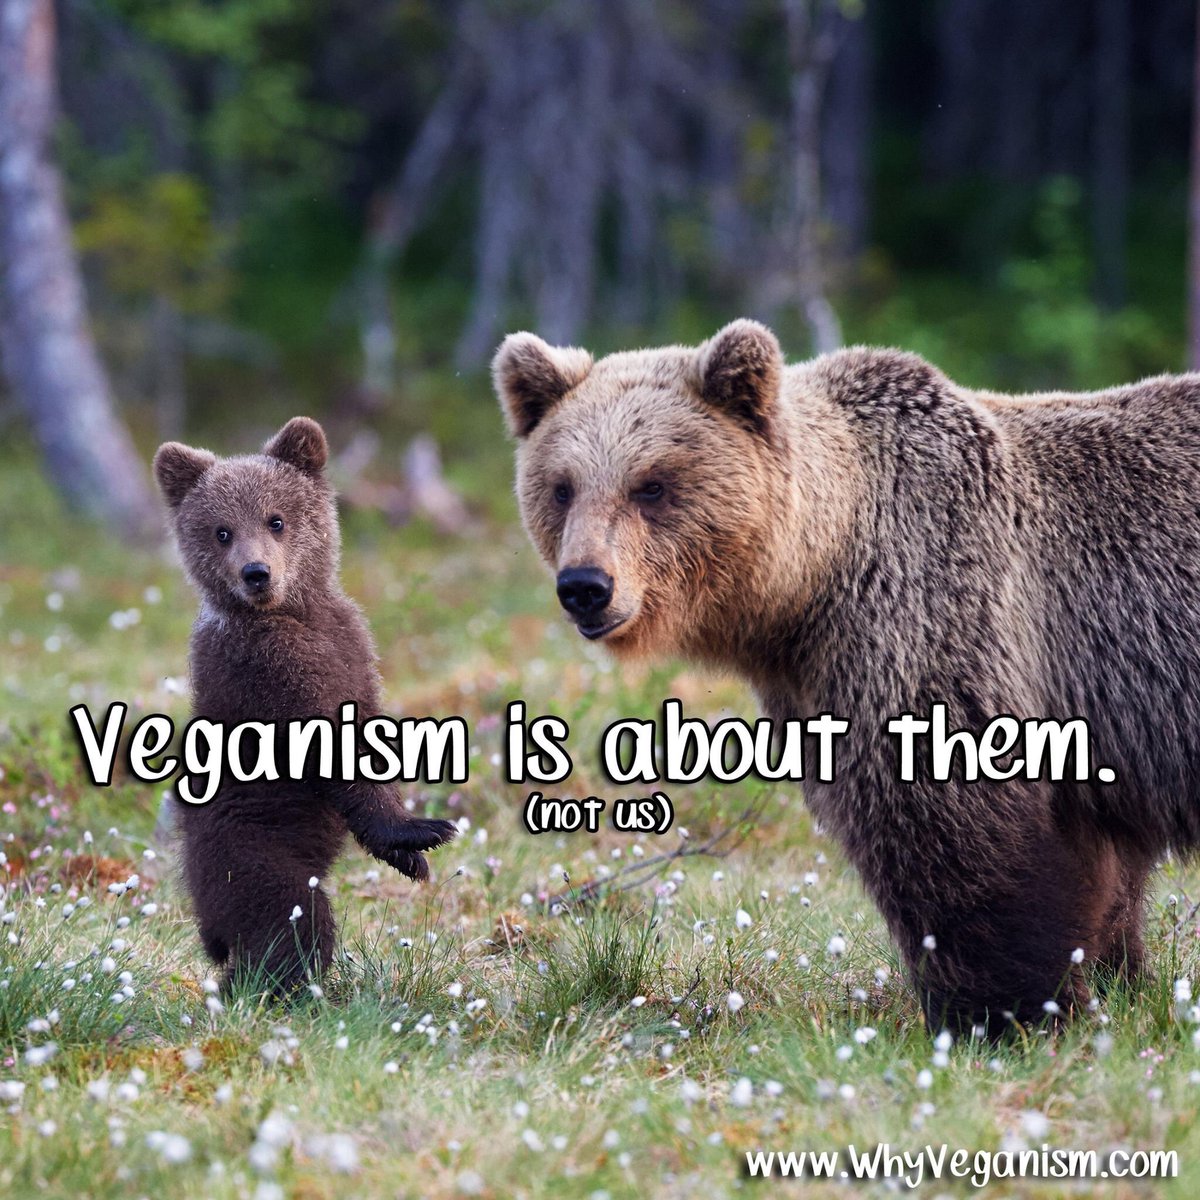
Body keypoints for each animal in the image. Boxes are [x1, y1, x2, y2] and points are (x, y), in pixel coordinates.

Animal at [153, 417, 457, 993]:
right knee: (292, 926)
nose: (256, 573)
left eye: (276, 520)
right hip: (252, 853)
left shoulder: (351, 646)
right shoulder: (273, 672)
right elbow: (335, 751)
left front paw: (410, 857)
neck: (293, 614)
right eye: (221, 530)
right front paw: (422, 830)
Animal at [494, 319, 1200, 1035]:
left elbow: (950, 823)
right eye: (562, 486)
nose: (585, 586)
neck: (811, 582)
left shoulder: (932, 617)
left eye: (652, 484)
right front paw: (1109, 981)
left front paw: (1002, 1010)